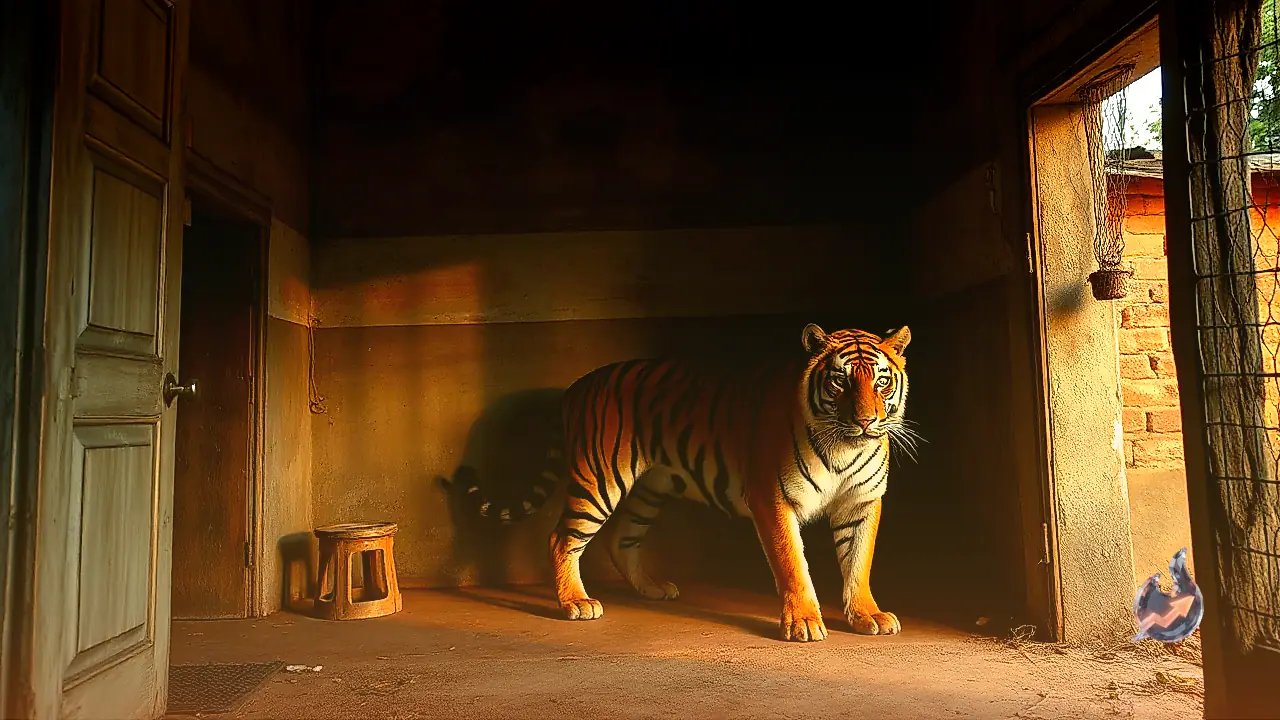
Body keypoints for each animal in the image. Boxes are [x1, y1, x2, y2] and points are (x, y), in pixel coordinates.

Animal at [462, 323, 916, 642]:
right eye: (840, 380)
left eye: (881, 381)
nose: (867, 421)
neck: (845, 446)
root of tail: (575, 387)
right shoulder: (773, 498)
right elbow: (793, 563)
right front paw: (804, 621)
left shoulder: (862, 502)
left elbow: (859, 561)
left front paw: (866, 614)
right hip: (599, 479)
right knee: (562, 538)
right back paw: (575, 602)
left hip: (649, 488)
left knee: (621, 539)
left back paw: (652, 589)